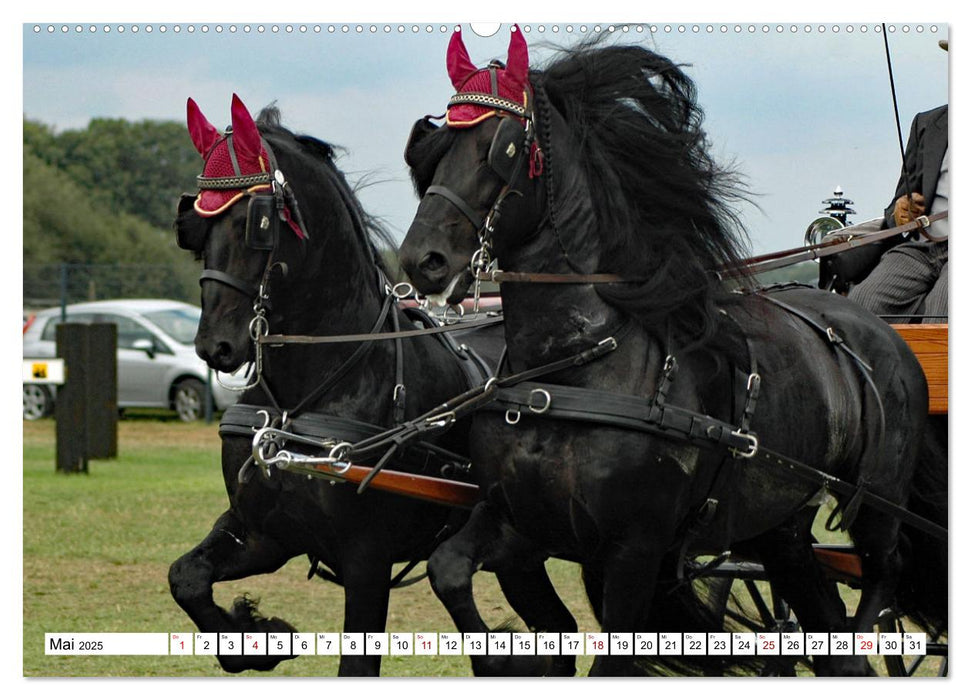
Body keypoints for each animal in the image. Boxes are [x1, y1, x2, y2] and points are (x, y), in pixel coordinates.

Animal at [167, 95, 576, 676]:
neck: (305, 396)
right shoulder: (263, 533)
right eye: (194, 225)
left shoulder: (366, 560)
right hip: (521, 552)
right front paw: (261, 637)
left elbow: (356, 667)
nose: (214, 345)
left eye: (255, 221)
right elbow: (186, 578)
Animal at [398, 30, 944, 676]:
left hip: (878, 502)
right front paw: (505, 660)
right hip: (778, 525)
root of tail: (878, 328)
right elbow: (449, 570)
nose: (421, 261)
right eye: (434, 148)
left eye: (503, 146)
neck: (574, 369)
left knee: (885, 572)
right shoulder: (520, 518)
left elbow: (612, 658)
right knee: (827, 624)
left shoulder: (635, 549)